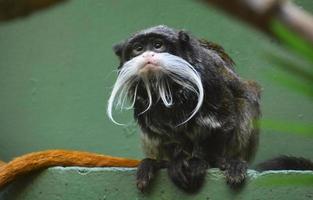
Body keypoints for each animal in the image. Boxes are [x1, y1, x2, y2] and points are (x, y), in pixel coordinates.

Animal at [107, 25, 260, 192]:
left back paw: (234, 162)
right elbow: (164, 135)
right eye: (138, 48)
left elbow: (223, 122)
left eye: (158, 45)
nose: (147, 55)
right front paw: (175, 163)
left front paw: (201, 163)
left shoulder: (208, 77)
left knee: (245, 101)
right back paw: (156, 163)